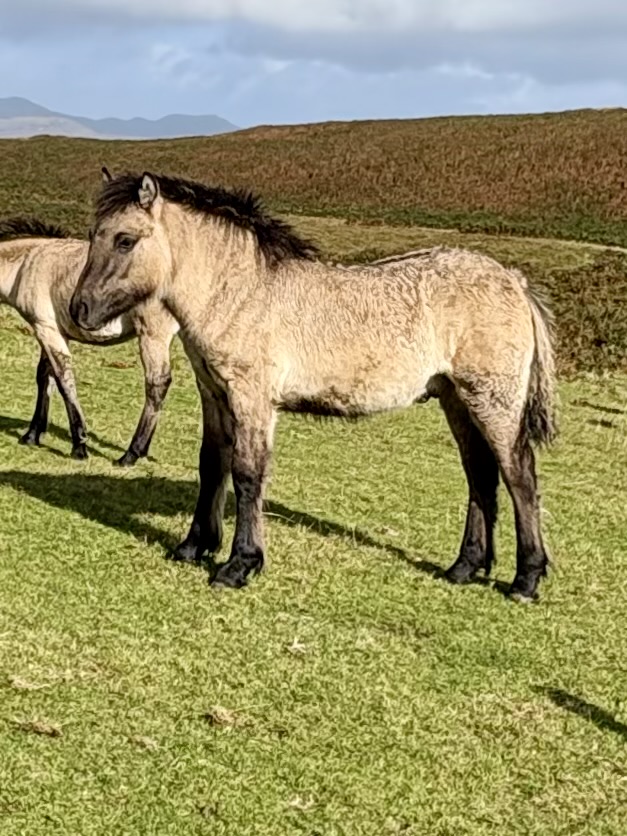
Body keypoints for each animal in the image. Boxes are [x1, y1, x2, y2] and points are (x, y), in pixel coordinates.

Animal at [0, 215, 179, 464]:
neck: (27, 262)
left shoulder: (46, 329)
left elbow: (64, 381)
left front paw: (79, 446)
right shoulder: (53, 331)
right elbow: (45, 376)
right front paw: (32, 435)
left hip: (153, 335)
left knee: (157, 384)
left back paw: (130, 454)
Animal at [70, 171, 557, 602]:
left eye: (125, 239)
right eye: (94, 233)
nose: (80, 308)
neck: (243, 291)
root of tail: (514, 281)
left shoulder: (252, 400)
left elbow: (247, 475)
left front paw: (239, 564)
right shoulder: (215, 395)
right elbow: (212, 465)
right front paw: (194, 546)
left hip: (492, 401)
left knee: (519, 476)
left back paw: (525, 579)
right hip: (456, 400)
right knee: (480, 475)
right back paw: (464, 567)